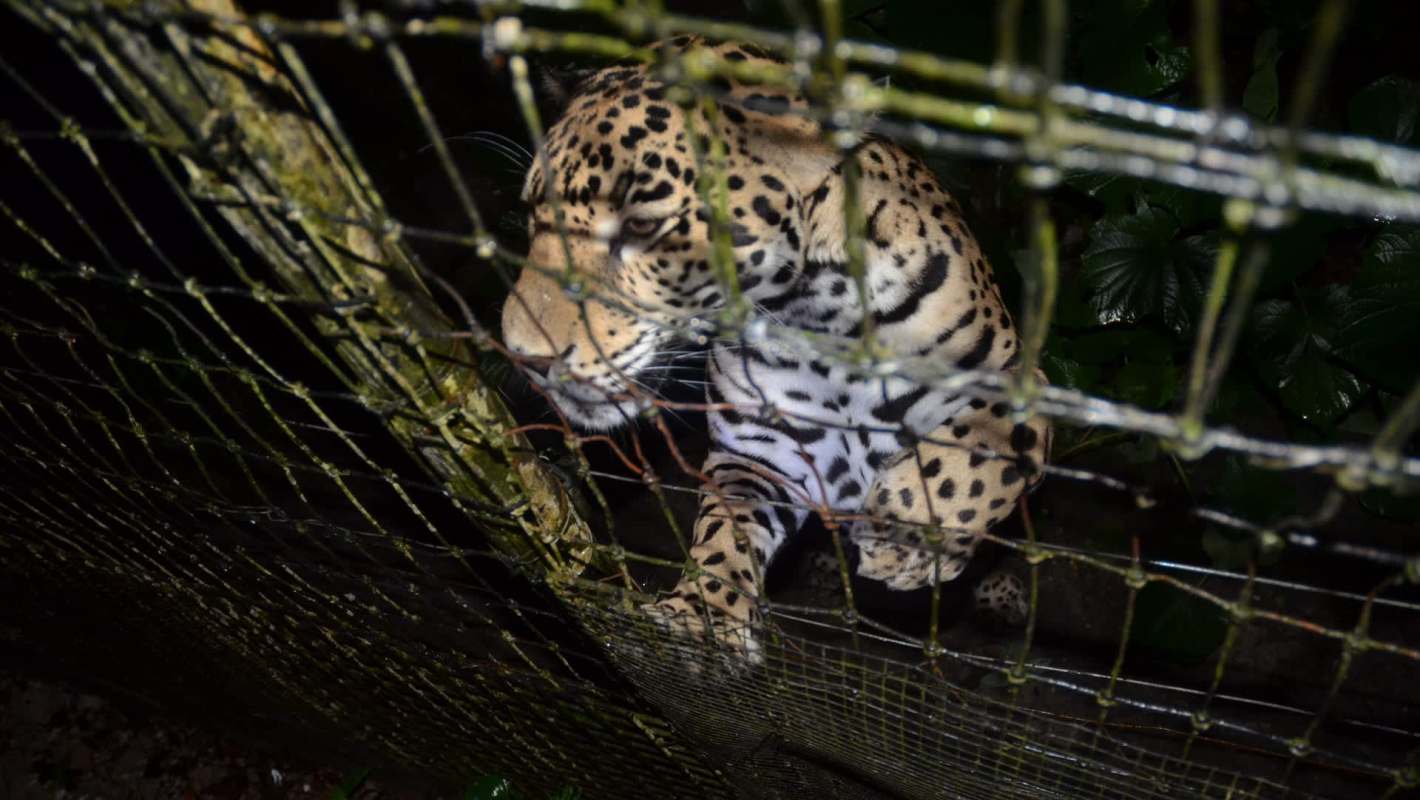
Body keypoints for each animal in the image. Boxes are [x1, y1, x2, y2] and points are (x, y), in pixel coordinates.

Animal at [500, 37, 1050, 662]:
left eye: (641, 227)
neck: (813, 316)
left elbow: (980, 455)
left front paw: (903, 540)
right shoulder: (759, 452)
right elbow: (725, 532)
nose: (526, 355)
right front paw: (703, 620)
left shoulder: (1019, 378)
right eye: (532, 215)